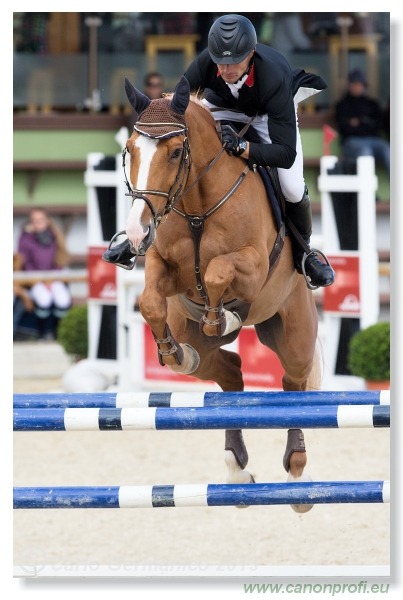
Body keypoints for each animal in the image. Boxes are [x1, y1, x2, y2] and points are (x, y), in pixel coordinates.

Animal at [121, 75, 320, 510]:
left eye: (176, 152)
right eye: (129, 149)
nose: (136, 232)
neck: (198, 205)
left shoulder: (253, 267)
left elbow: (217, 272)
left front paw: (223, 314)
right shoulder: (162, 266)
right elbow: (150, 301)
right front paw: (170, 349)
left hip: (294, 336)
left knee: (294, 385)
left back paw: (298, 475)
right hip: (198, 345)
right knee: (228, 370)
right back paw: (237, 469)